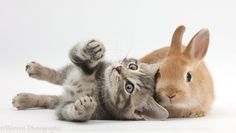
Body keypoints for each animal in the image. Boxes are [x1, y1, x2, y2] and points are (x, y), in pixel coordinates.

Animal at [12, 39, 168, 120]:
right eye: (133, 66)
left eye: (129, 87)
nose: (118, 68)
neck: (99, 87)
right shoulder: (92, 67)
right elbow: (77, 55)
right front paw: (93, 50)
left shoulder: (65, 108)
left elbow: (70, 112)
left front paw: (84, 108)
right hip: (70, 72)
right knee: (57, 75)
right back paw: (35, 69)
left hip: (60, 98)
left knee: (51, 98)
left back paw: (23, 99)